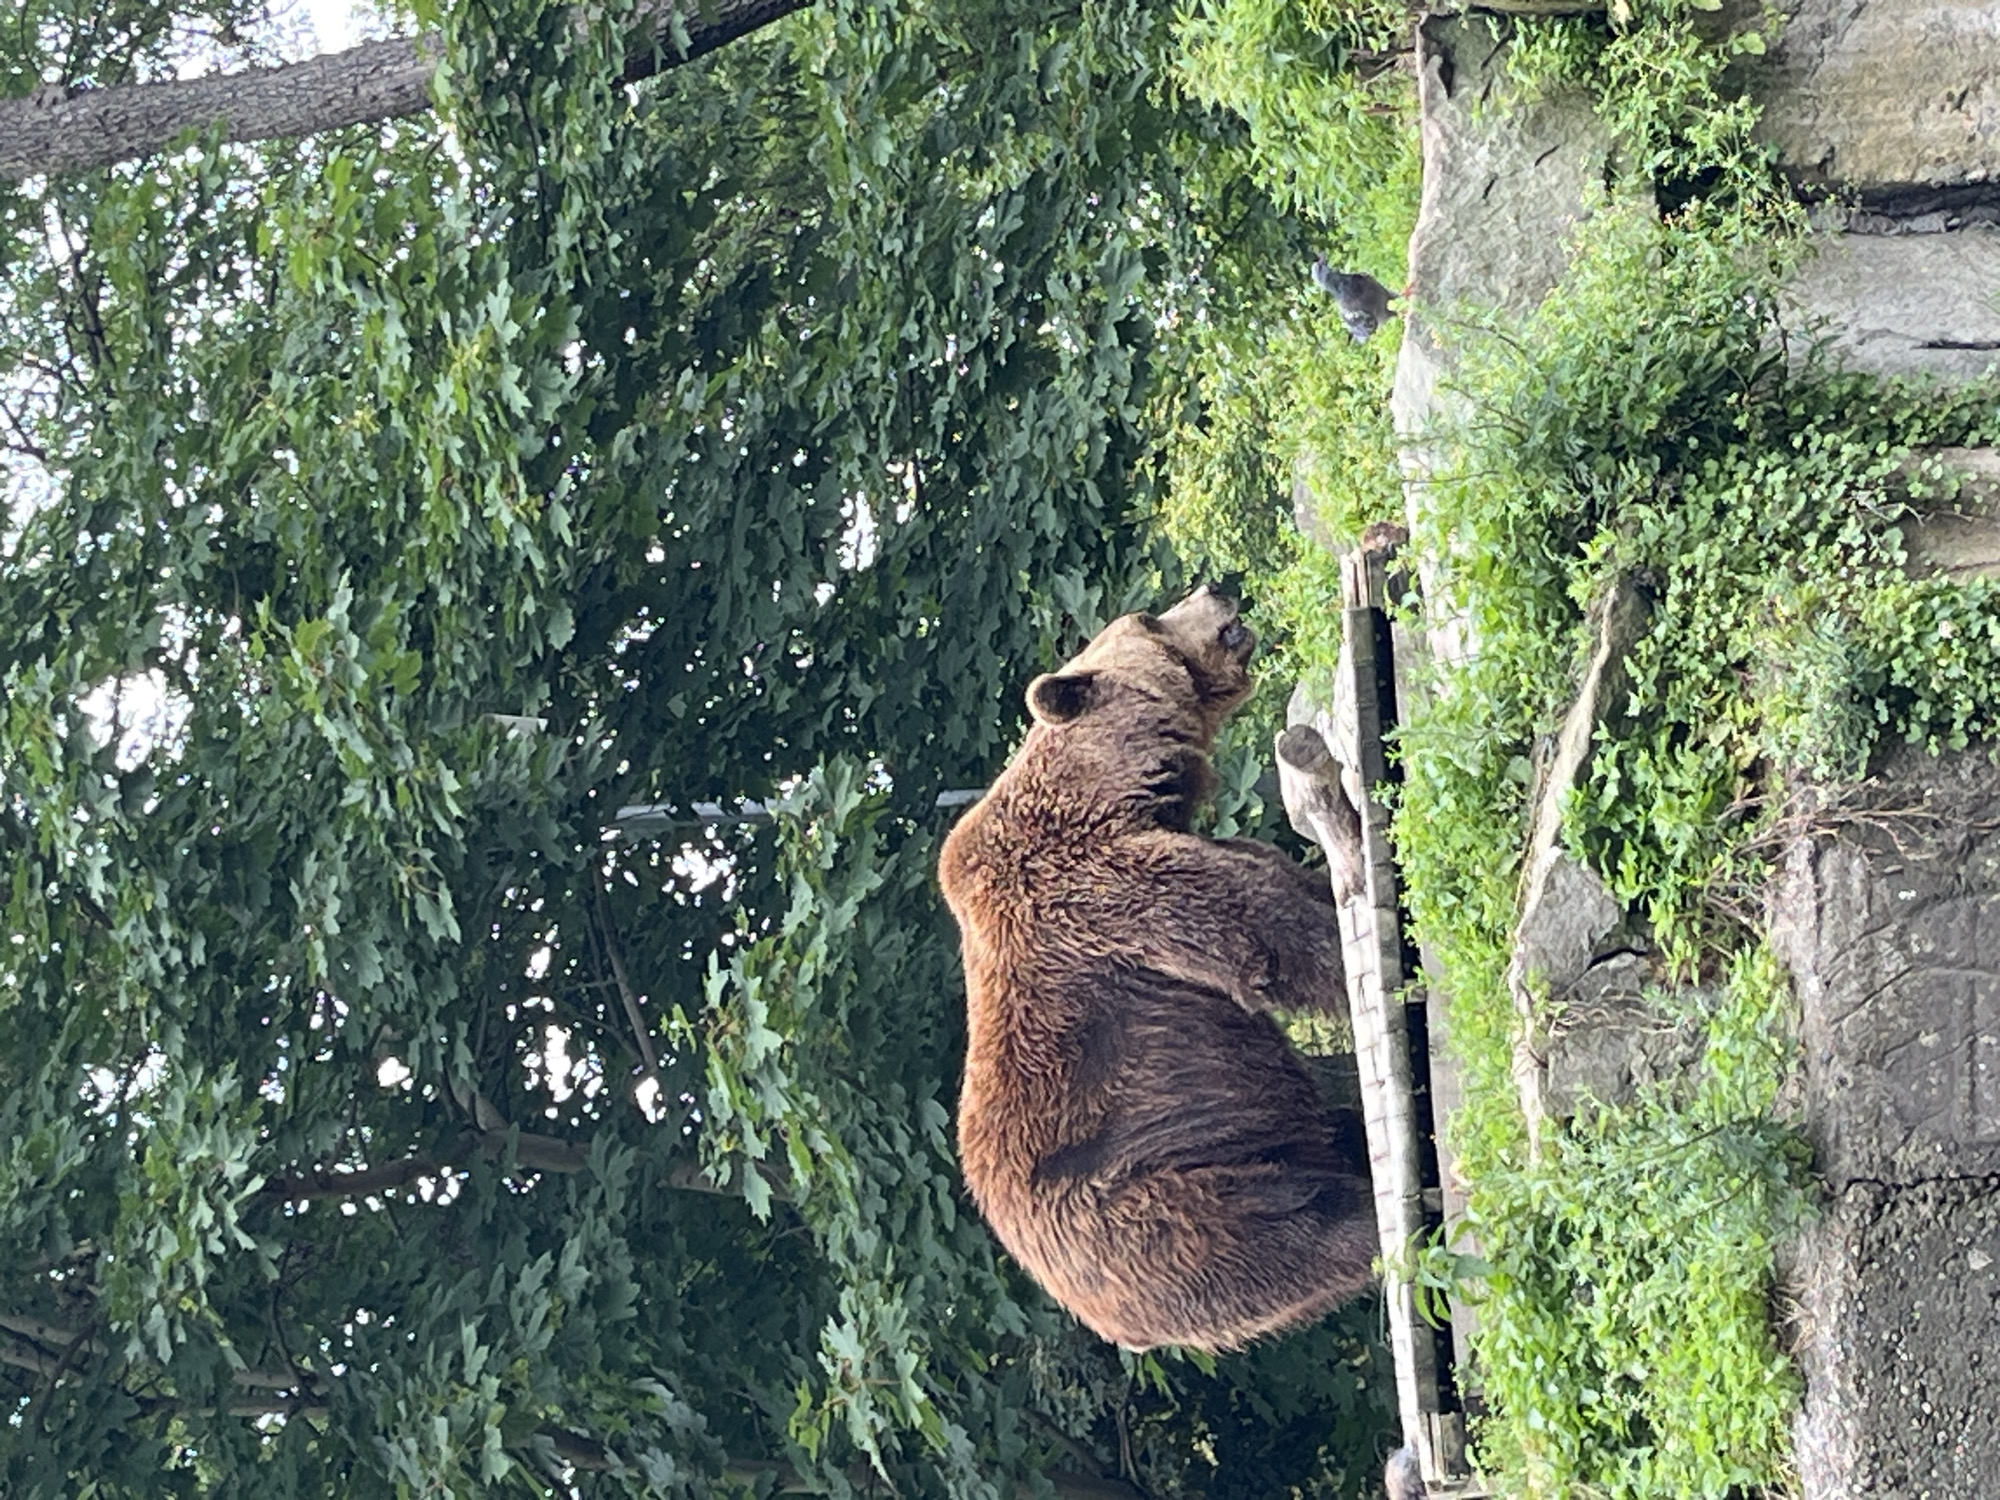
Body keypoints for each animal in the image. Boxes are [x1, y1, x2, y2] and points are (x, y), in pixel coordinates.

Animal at [937, 585, 1377, 1352]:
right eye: (1147, 620)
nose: (1216, 590)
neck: (1113, 792)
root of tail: (1104, 1319)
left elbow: (1288, 884)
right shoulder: (1108, 893)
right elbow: (1273, 938)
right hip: (1162, 1207)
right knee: (1303, 1228)